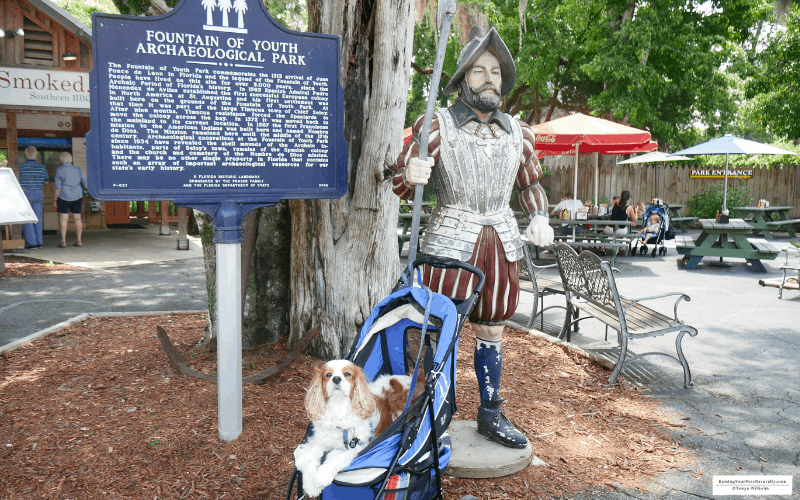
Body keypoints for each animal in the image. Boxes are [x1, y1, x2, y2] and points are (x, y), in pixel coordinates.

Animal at [294, 360, 428, 496]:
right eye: (328, 375)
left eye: (347, 374)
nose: (336, 378)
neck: (338, 407)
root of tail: (420, 379)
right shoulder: (320, 440)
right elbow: (308, 456)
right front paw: (310, 486)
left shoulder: (358, 445)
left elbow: (336, 456)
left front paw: (322, 476)